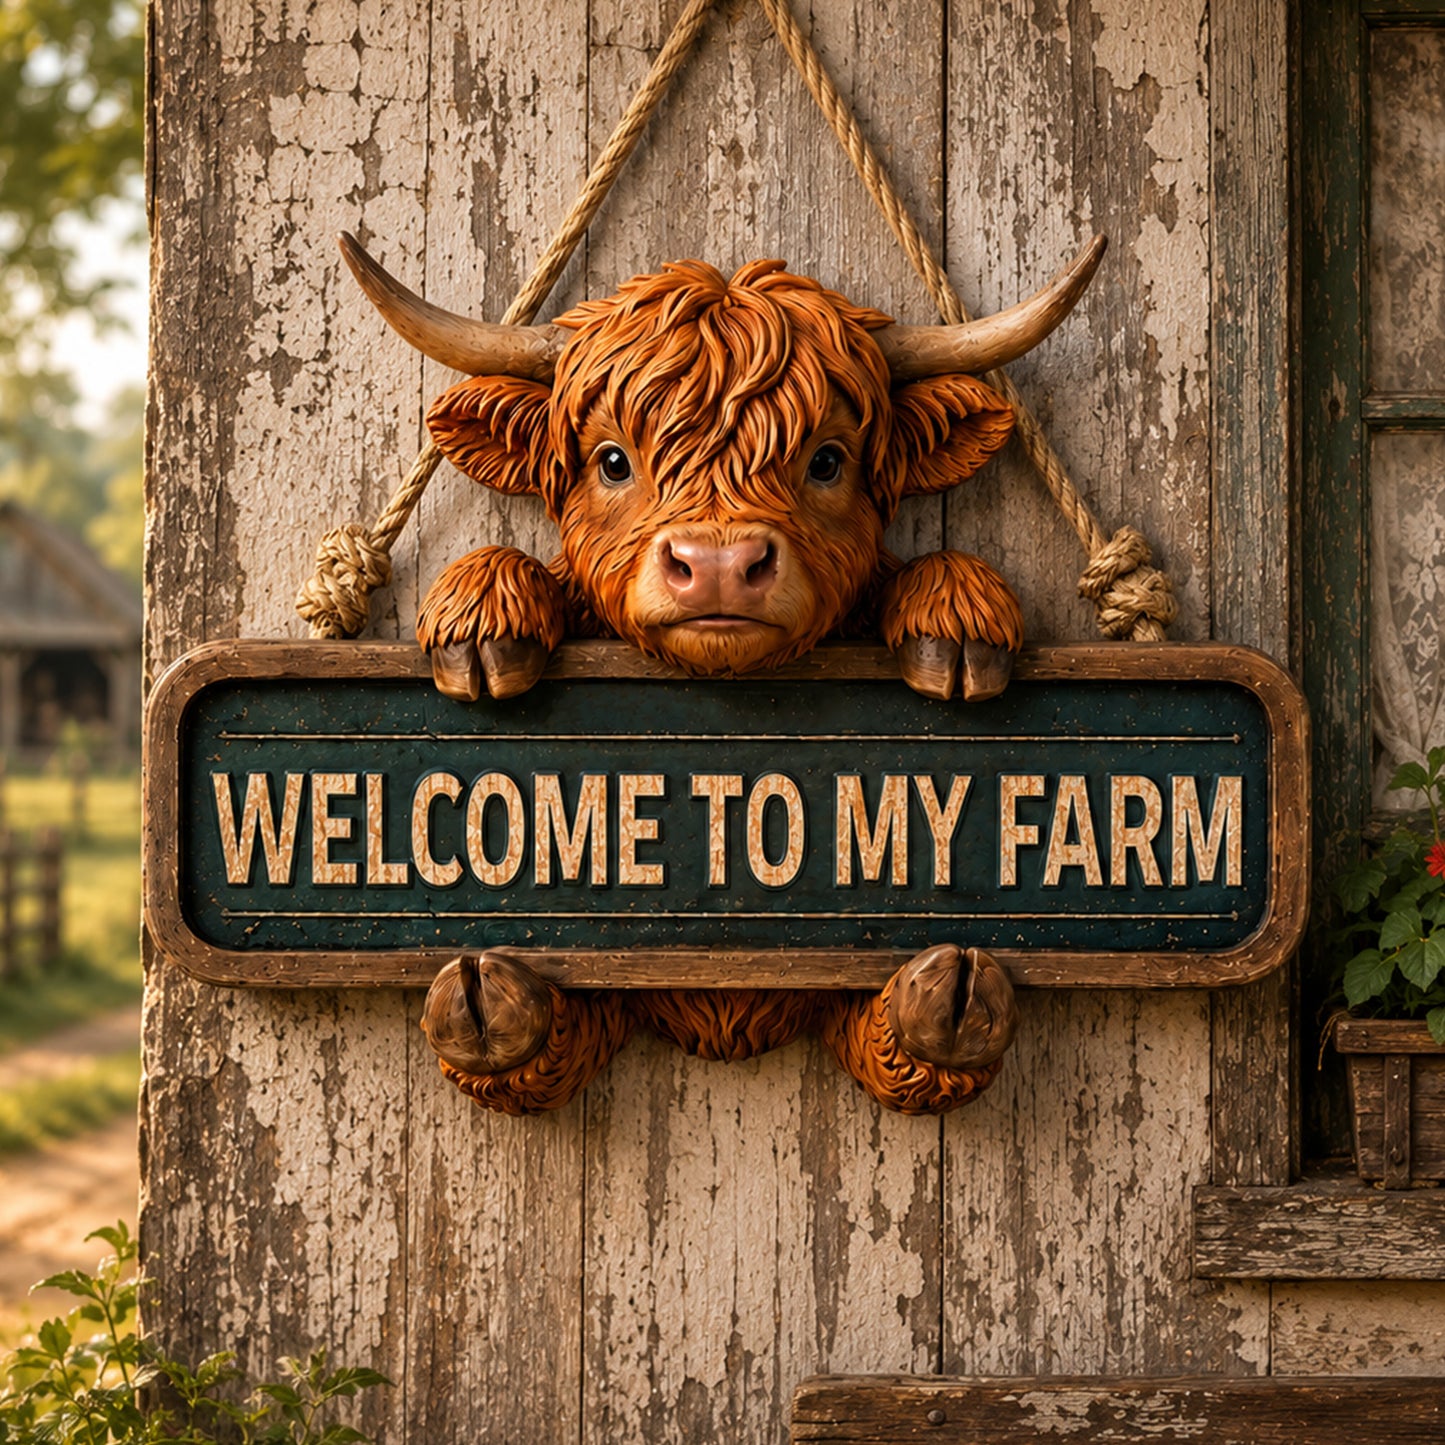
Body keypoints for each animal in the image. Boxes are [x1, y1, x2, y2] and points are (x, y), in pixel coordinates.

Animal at [341, 234, 1104, 1115]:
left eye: (827, 459)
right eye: (611, 461)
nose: (716, 565)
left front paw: (956, 620)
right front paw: (480, 617)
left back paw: (942, 997)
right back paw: (493, 998)